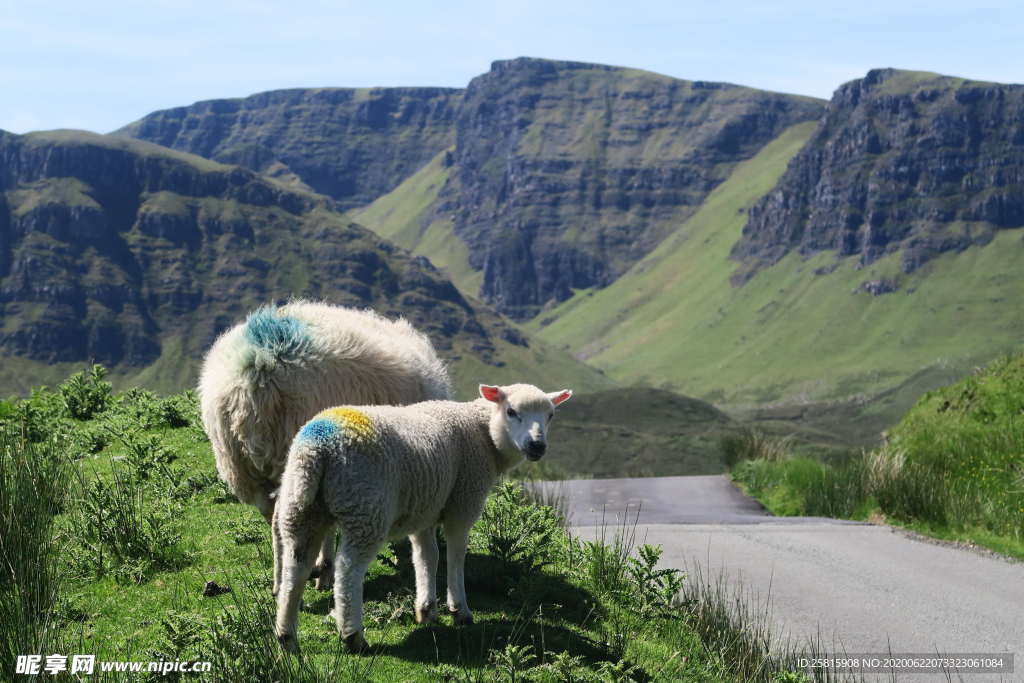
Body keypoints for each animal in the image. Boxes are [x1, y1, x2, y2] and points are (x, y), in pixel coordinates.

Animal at [272, 382, 577, 655]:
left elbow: (427, 557)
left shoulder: (425, 510)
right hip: (365, 508)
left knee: (295, 569)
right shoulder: (463, 503)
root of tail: (318, 447)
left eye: (551, 415)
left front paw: (426, 609)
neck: (482, 433)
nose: (537, 445)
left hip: (301, 509)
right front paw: (459, 609)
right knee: (349, 571)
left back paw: (286, 635)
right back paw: (353, 636)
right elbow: (455, 556)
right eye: (512, 411)